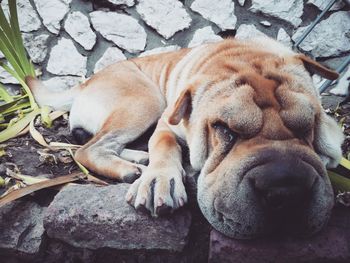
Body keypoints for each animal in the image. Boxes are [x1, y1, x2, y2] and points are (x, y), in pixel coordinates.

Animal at [26, 36, 344, 240]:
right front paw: (159, 180)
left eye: (307, 125)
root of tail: (83, 84)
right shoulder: (167, 123)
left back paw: (137, 159)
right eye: (224, 130)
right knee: (88, 149)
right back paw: (131, 168)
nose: (286, 189)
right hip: (147, 99)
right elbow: (164, 145)